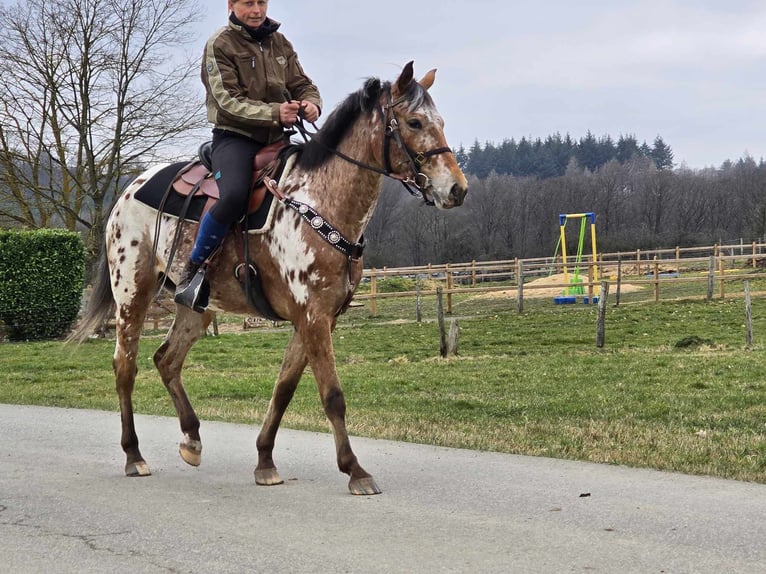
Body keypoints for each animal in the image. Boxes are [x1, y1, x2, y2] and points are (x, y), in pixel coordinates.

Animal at [70, 62, 468, 496]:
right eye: (414, 122)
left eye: (441, 122)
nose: (457, 189)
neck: (318, 202)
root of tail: (130, 190)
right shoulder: (312, 318)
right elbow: (332, 395)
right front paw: (355, 471)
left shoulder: (315, 319)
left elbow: (284, 389)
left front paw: (264, 461)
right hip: (132, 293)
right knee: (125, 366)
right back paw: (134, 455)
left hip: (195, 307)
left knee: (167, 360)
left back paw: (192, 439)